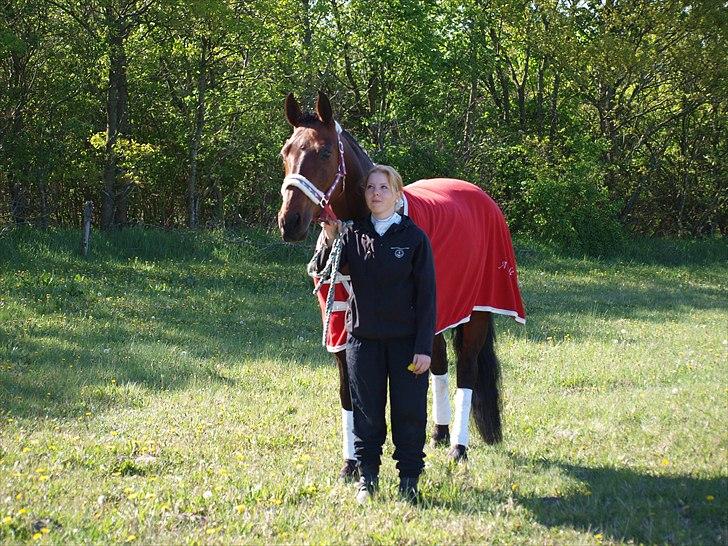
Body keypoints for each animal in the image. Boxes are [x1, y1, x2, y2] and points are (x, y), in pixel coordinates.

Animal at [274, 90, 524, 476]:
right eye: (286, 152)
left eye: (325, 152)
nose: (290, 222)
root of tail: (481, 196)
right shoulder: (339, 326)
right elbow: (350, 395)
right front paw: (350, 465)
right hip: (436, 316)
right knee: (438, 363)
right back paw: (439, 434)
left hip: (477, 312)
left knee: (466, 370)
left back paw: (458, 448)